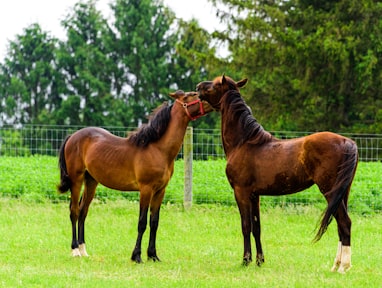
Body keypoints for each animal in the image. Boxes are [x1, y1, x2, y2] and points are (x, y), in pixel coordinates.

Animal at [57, 91, 213, 262]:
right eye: (192, 95)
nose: (211, 101)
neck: (157, 149)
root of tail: (72, 136)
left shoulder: (160, 191)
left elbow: (154, 222)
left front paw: (153, 255)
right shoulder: (146, 189)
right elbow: (142, 222)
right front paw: (137, 256)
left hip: (91, 181)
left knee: (83, 211)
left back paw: (83, 250)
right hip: (76, 180)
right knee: (74, 211)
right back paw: (75, 250)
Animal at [197, 75, 358, 274]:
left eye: (215, 84)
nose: (198, 87)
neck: (245, 142)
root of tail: (347, 142)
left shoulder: (241, 192)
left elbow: (245, 226)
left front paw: (245, 260)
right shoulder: (254, 195)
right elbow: (256, 227)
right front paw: (259, 261)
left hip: (330, 191)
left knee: (345, 223)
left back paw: (343, 267)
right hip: (342, 193)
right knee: (340, 227)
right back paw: (336, 265)